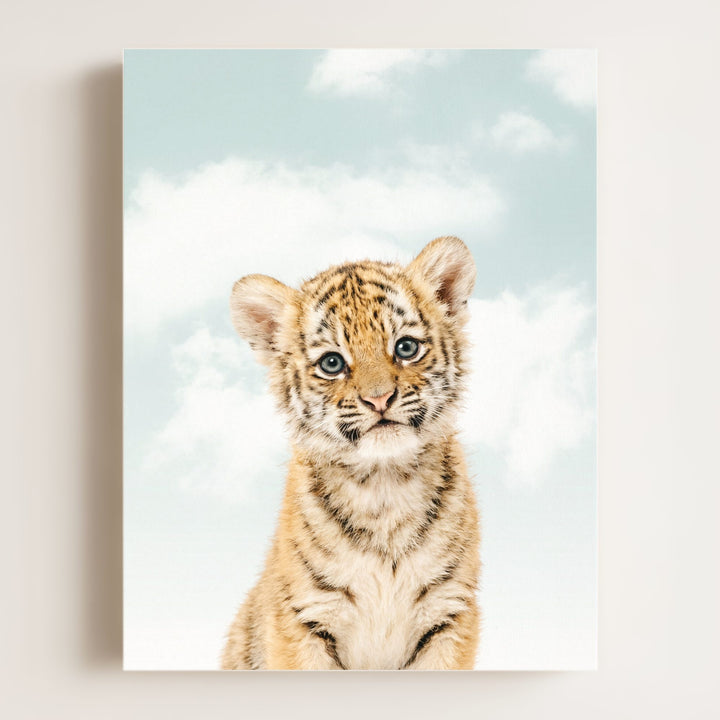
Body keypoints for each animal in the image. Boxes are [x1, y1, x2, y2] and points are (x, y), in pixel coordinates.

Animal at [221, 236, 480, 670]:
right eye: (332, 363)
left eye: (406, 347)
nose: (379, 399)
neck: (384, 485)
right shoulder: (303, 618)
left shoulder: (450, 613)